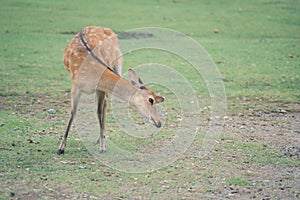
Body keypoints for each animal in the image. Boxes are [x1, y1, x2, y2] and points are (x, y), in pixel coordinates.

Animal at [56, 25, 164, 155]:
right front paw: (60, 148)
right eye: (151, 100)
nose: (159, 122)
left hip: (118, 61)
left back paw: (100, 138)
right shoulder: (75, 86)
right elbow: (73, 112)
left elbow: (99, 111)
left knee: (105, 105)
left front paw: (102, 147)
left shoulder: (100, 88)